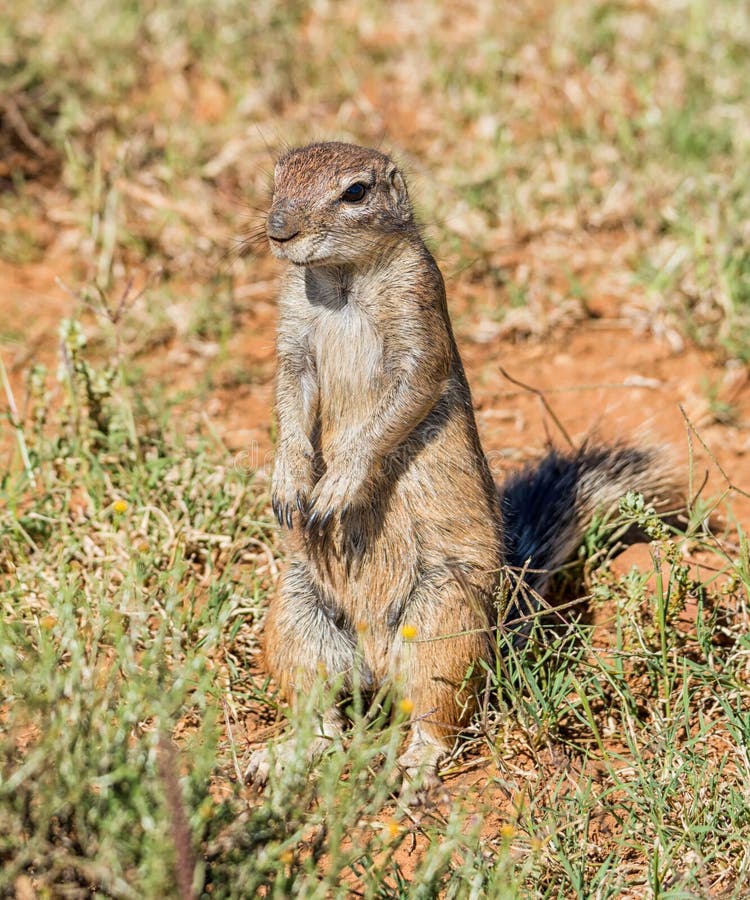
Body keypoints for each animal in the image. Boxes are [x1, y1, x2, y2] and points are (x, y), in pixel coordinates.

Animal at [246, 141, 670, 789]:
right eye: (276, 177)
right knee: (322, 718)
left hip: (442, 619)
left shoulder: (418, 317)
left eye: (355, 192)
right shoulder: (292, 336)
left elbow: (399, 403)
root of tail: (376, 663)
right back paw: (282, 756)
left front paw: (338, 486)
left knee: (436, 713)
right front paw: (289, 483)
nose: (278, 230)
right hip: (298, 614)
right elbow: (290, 401)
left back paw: (416, 765)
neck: (341, 280)